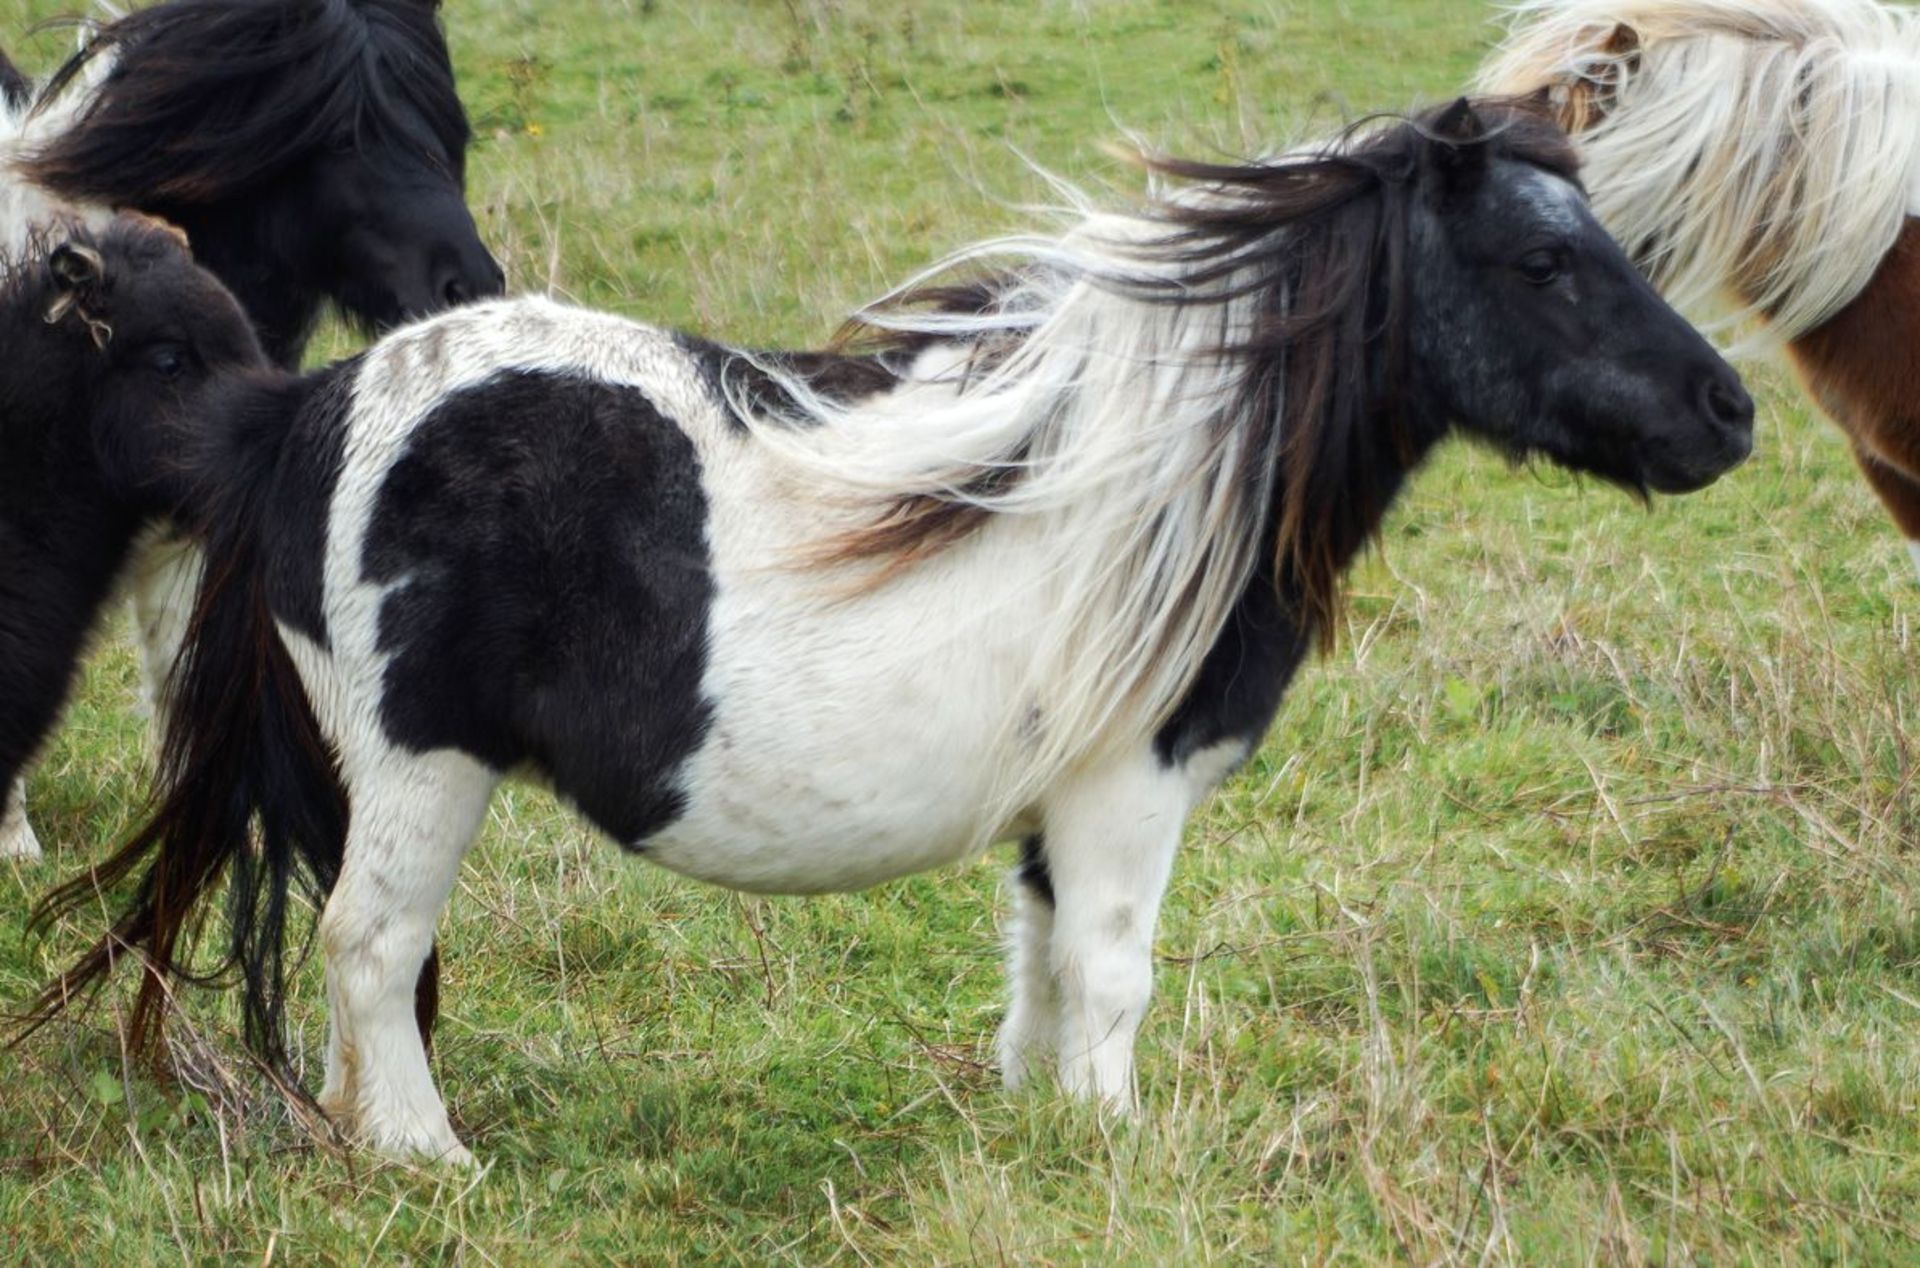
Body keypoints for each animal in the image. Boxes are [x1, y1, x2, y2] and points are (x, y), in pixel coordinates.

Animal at [30, 101, 1758, 1168]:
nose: (1727, 413)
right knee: (371, 945)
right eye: (1548, 261)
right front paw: (1119, 1148)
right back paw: (428, 1158)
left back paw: (364, 1133)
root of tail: (306, 410)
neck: (1137, 471)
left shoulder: (1062, 804)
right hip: (420, 764)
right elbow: (1114, 972)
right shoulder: (1130, 786)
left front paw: (1049, 1131)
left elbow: (1044, 965)